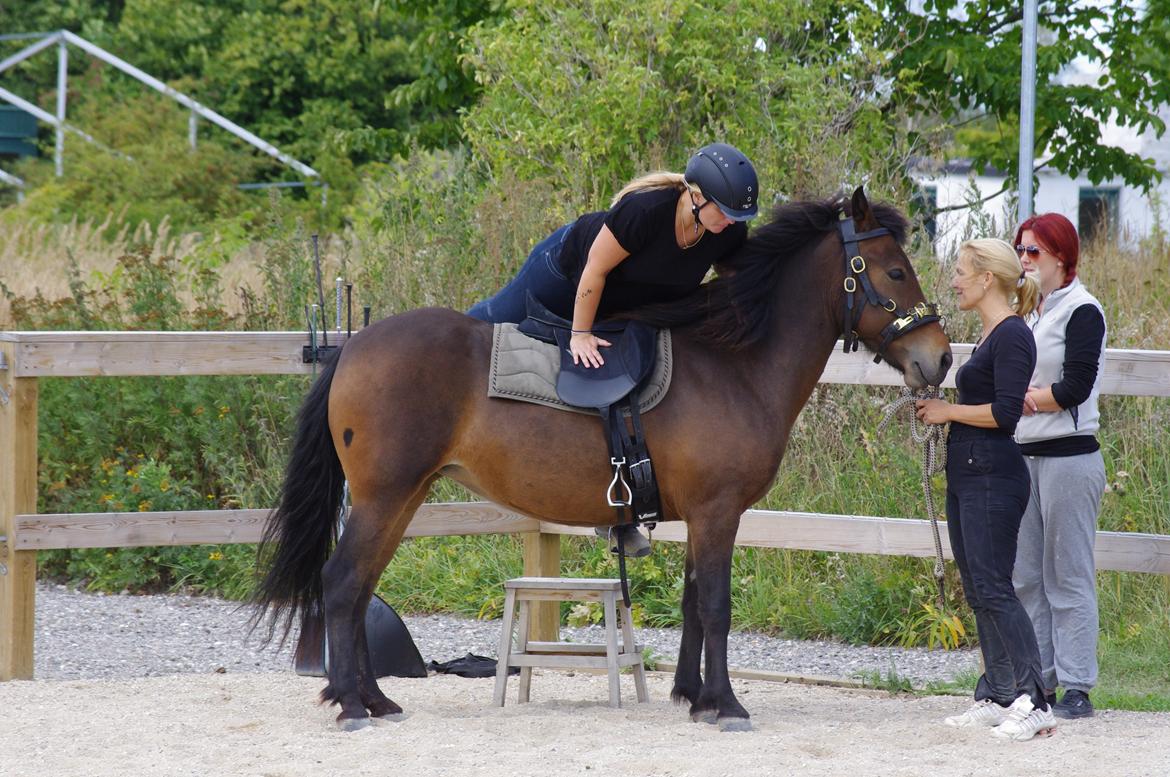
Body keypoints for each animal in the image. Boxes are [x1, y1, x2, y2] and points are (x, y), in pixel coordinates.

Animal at [253, 187, 950, 730]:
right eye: (893, 272)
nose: (939, 359)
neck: (732, 364)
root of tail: (353, 346)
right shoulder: (719, 512)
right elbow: (717, 607)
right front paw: (725, 705)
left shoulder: (701, 517)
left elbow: (694, 603)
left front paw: (693, 697)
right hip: (385, 496)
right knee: (344, 582)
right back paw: (351, 705)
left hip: (403, 498)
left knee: (361, 585)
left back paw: (374, 698)